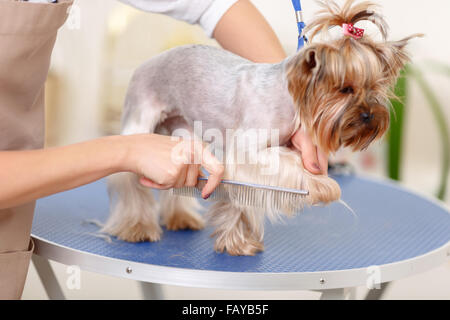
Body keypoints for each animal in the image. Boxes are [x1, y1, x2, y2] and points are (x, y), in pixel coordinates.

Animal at [103, 0, 420, 255]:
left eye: (375, 87)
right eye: (345, 89)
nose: (370, 116)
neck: (290, 98)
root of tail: (144, 64)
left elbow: (240, 201)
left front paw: (238, 243)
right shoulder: (247, 151)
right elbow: (289, 163)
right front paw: (323, 185)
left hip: (183, 133)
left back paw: (180, 218)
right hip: (140, 123)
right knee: (130, 182)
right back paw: (137, 228)